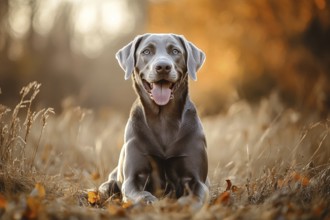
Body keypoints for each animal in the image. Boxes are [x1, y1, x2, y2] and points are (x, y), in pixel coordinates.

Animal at [99, 33, 209, 206]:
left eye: (175, 51)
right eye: (146, 51)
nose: (163, 66)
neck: (163, 119)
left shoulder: (197, 179)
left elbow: (195, 195)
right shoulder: (132, 178)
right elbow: (139, 193)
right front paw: (151, 201)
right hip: (106, 186)